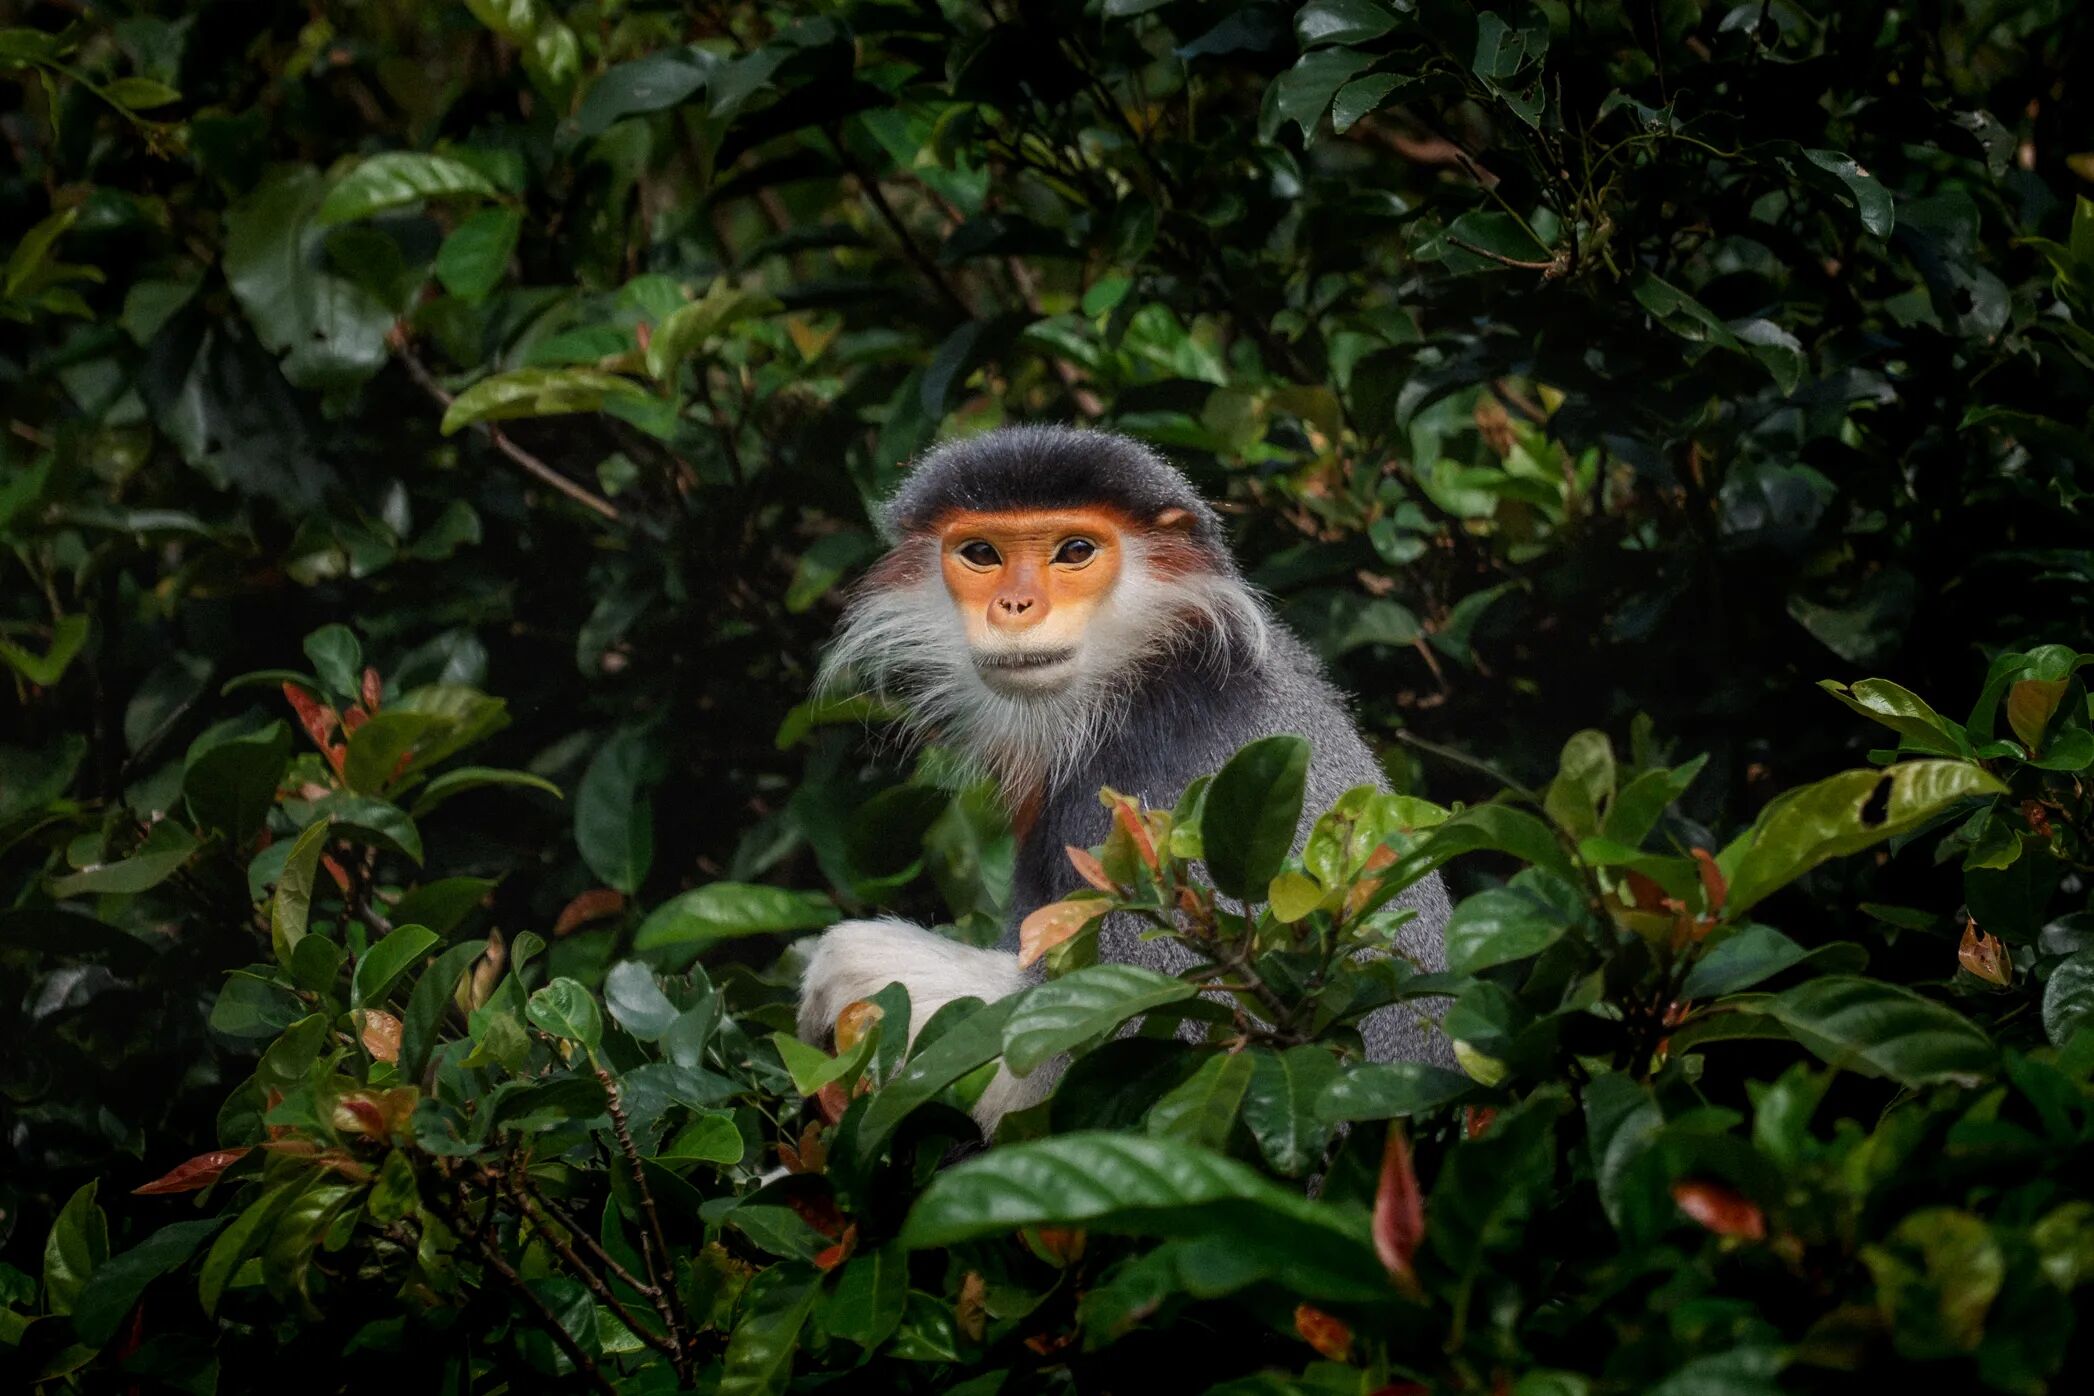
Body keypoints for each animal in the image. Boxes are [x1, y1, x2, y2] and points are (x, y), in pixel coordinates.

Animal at [797, 424, 1454, 1128]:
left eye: (1075, 551)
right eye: (981, 554)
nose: (1014, 604)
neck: (1144, 669)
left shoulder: (1153, 797)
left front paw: (841, 964)